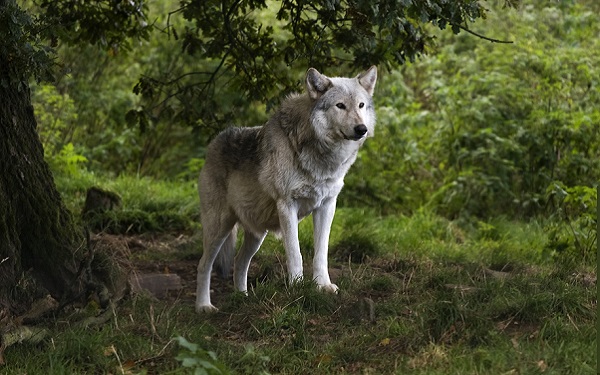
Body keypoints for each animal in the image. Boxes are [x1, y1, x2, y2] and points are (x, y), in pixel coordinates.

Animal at [196, 66, 376, 312]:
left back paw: (243, 298)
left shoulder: (327, 206)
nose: (361, 129)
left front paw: (323, 286)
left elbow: (321, 253)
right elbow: (295, 253)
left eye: (361, 105)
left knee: (239, 262)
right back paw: (203, 306)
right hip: (219, 228)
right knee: (203, 265)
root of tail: (214, 142)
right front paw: (297, 288)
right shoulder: (287, 205)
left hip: (256, 234)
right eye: (340, 105)